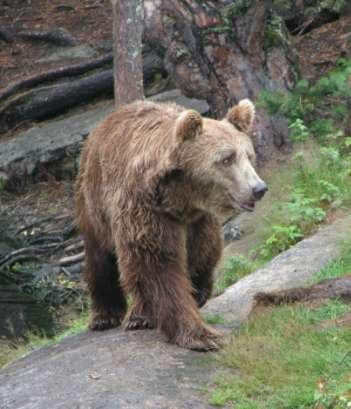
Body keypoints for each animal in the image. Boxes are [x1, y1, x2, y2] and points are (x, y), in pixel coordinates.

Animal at [74, 97, 266, 350]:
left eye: (249, 155)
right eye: (227, 158)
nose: (258, 188)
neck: (180, 195)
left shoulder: (199, 219)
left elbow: (202, 252)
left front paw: (197, 292)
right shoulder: (145, 208)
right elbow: (157, 265)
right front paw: (204, 335)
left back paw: (140, 315)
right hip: (93, 200)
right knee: (100, 257)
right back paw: (107, 316)